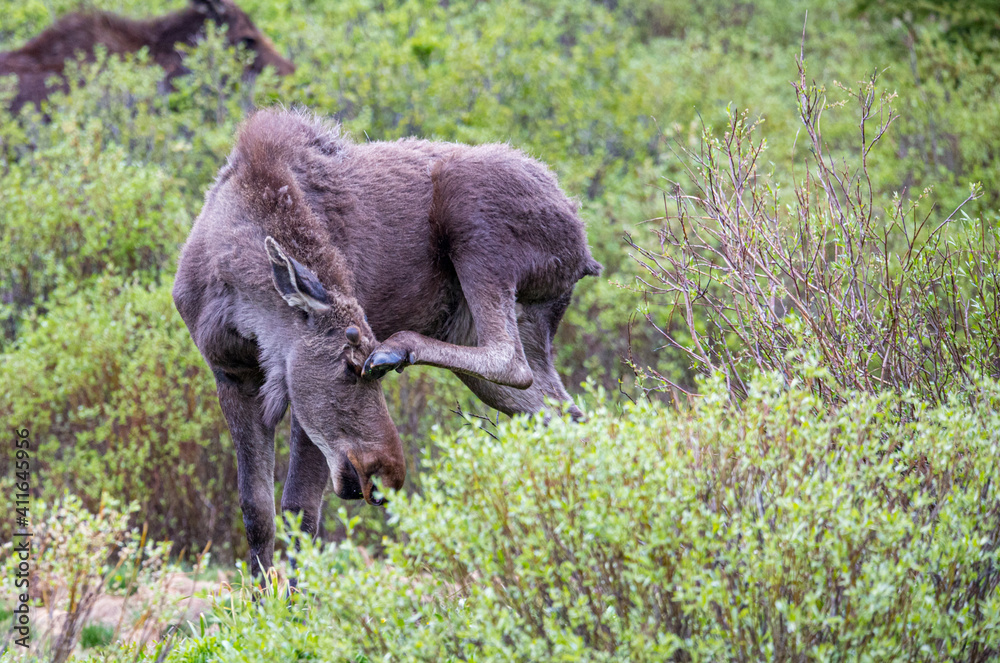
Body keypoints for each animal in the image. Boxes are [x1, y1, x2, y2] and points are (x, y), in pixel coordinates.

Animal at [172, 109, 602, 577]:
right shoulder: (231, 375)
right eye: (347, 365)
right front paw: (258, 595)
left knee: (511, 359)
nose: (388, 473)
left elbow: (300, 512)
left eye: (363, 366)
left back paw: (400, 346)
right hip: (505, 332)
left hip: (474, 224)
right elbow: (256, 512)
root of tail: (585, 251)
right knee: (566, 413)